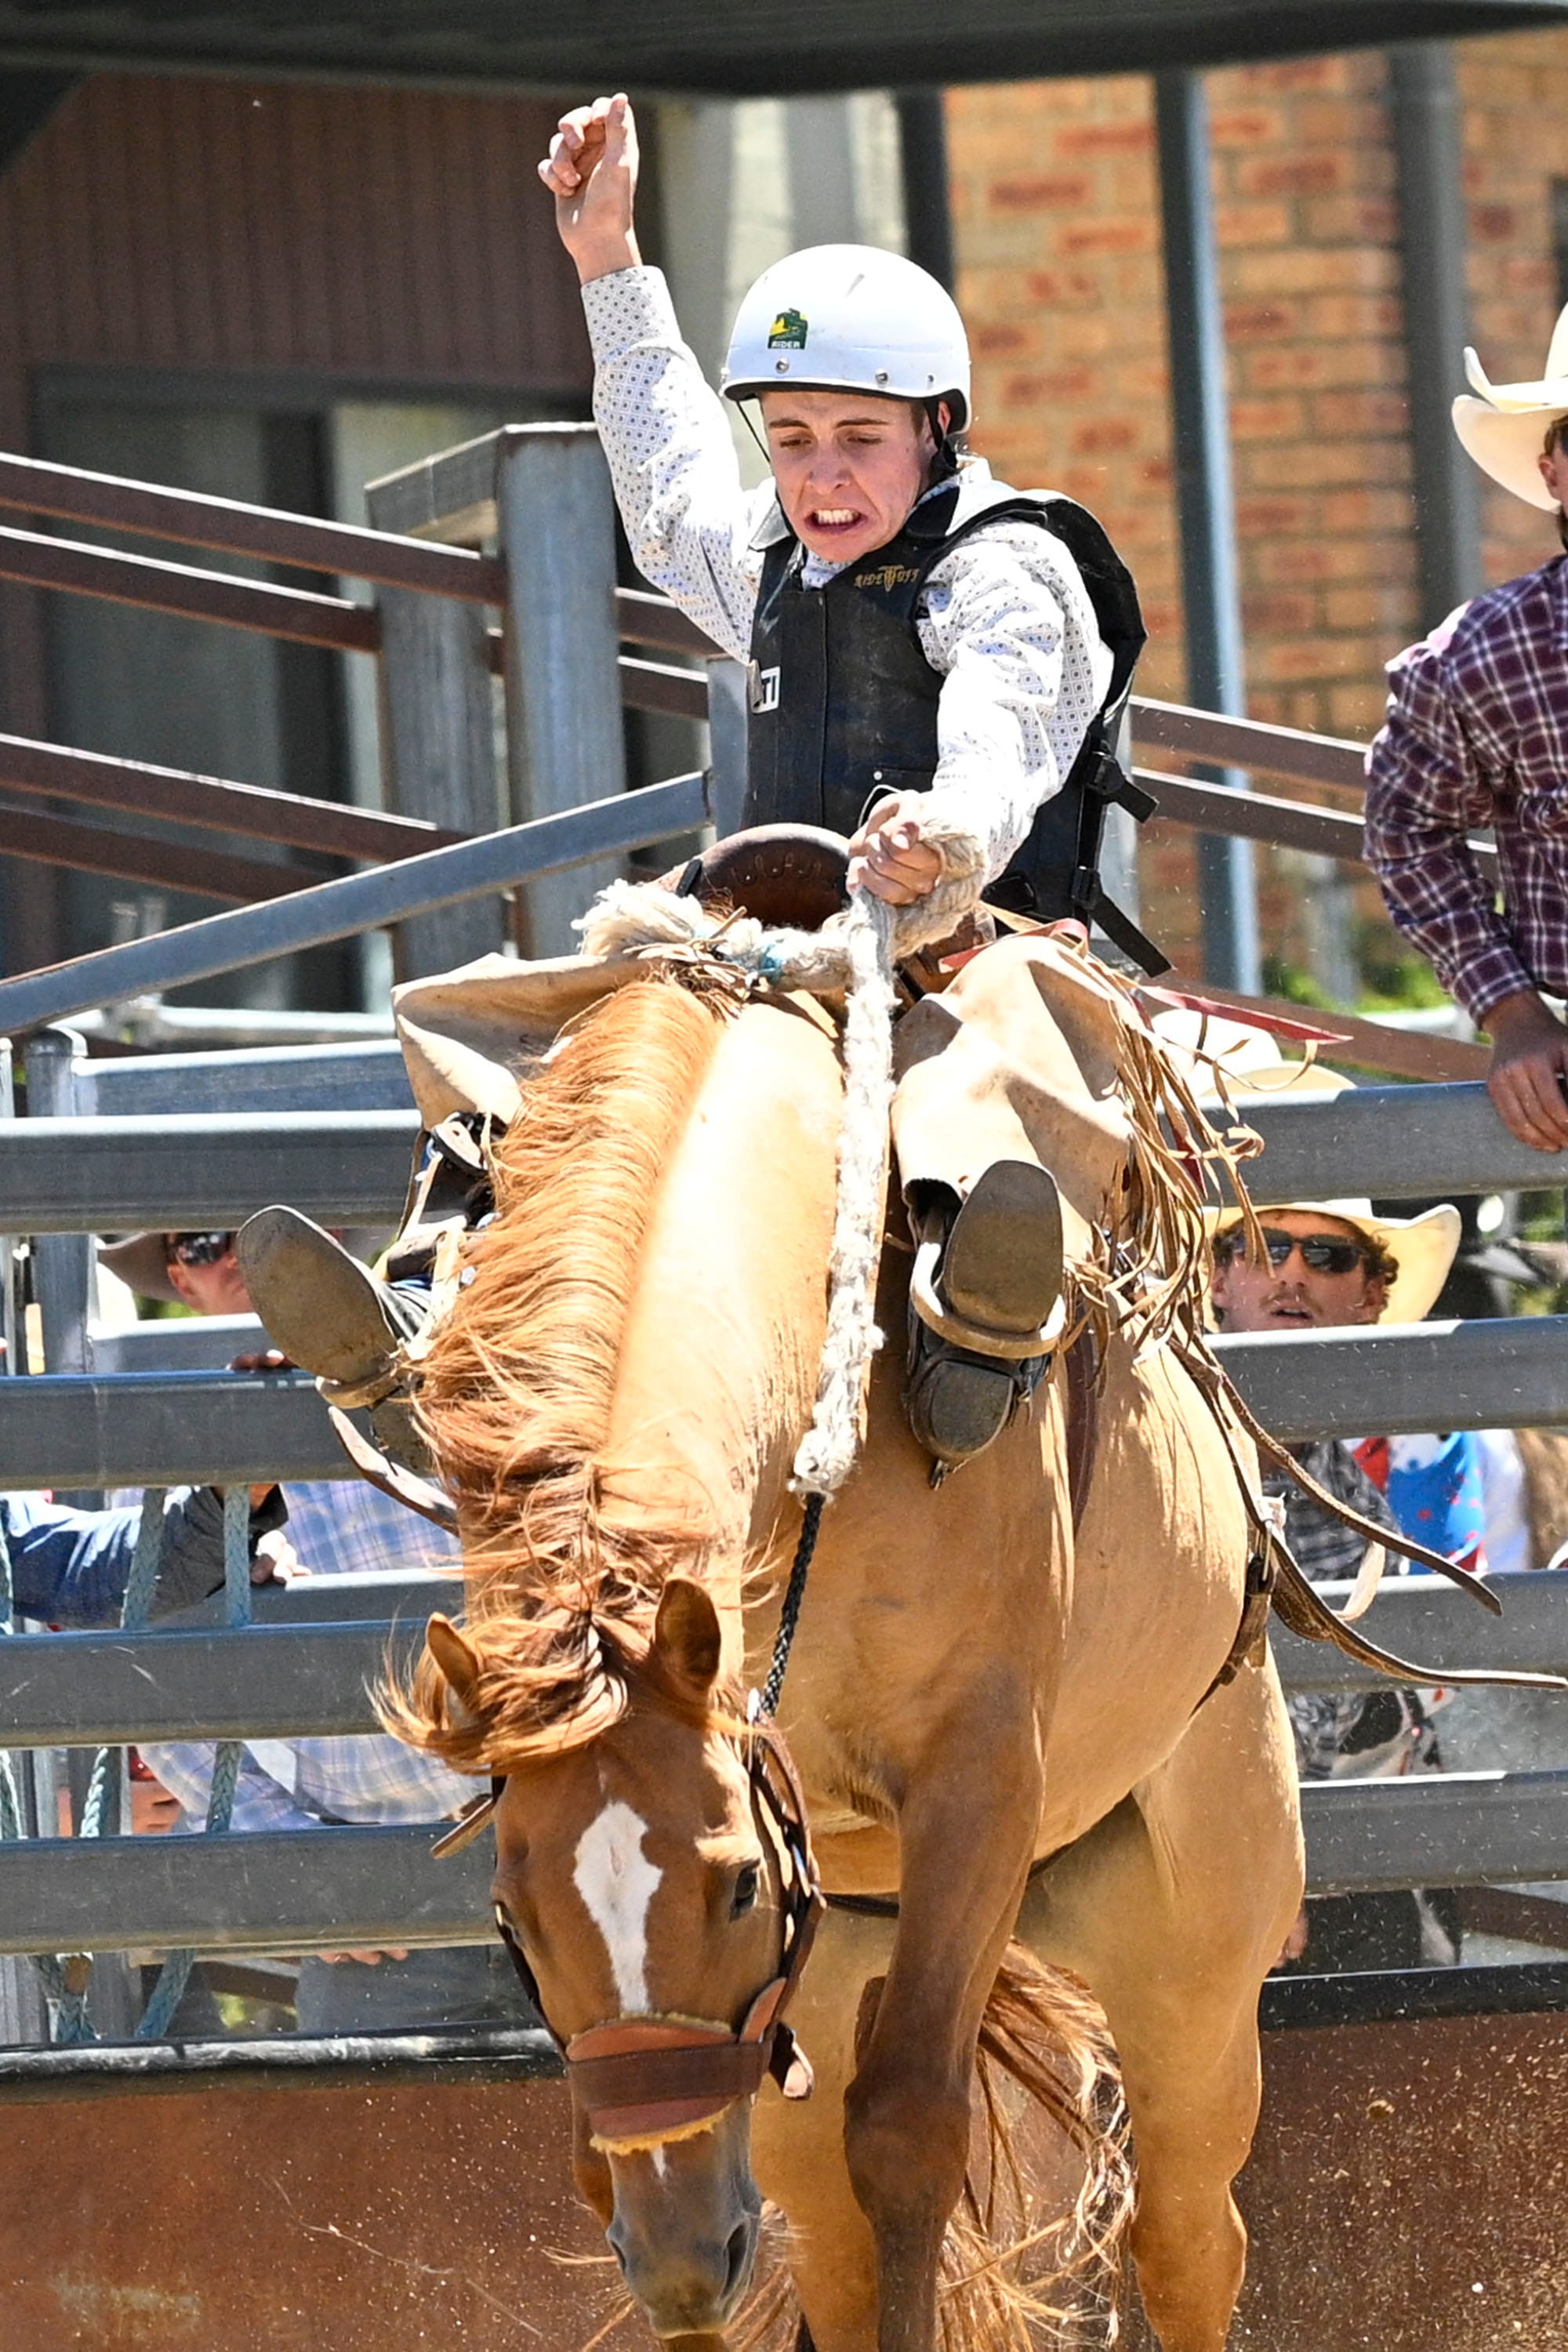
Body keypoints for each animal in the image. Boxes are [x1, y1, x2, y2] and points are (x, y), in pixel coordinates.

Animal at [381, 927, 1304, 2352]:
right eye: (508, 1919)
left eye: (733, 1884)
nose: (677, 2264)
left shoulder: (979, 1783)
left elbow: (911, 2131)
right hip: (836, 1974)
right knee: (832, 2232)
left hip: (1192, 1978)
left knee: (1188, 2235)